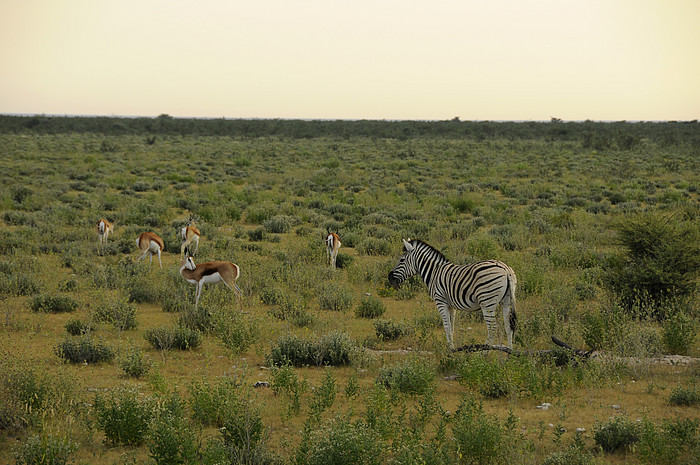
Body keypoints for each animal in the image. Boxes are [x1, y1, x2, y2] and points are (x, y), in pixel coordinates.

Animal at [386, 239, 516, 348]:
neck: (434, 273)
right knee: (508, 327)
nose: (389, 278)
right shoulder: (451, 305)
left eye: (402, 260)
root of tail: (506, 269)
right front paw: (452, 346)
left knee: (492, 328)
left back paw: (484, 353)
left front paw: (450, 349)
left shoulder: (440, 301)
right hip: (506, 300)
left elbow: (447, 326)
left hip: (487, 301)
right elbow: (451, 327)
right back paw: (509, 354)